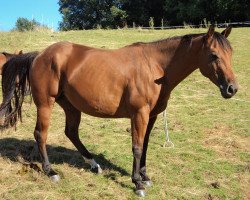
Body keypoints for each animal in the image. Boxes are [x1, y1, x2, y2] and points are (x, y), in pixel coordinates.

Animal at [0, 25, 238, 197]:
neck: (155, 67)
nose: (232, 88)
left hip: (71, 106)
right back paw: (51, 171)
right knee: (41, 134)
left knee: (71, 133)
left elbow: (145, 146)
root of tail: (39, 55)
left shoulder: (151, 116)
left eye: (230, 53)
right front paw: (137, 183)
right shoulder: (139, 114)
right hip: (45, 104)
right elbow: (137, 147)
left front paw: (145, 177)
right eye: (214, 55)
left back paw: (94, 164)